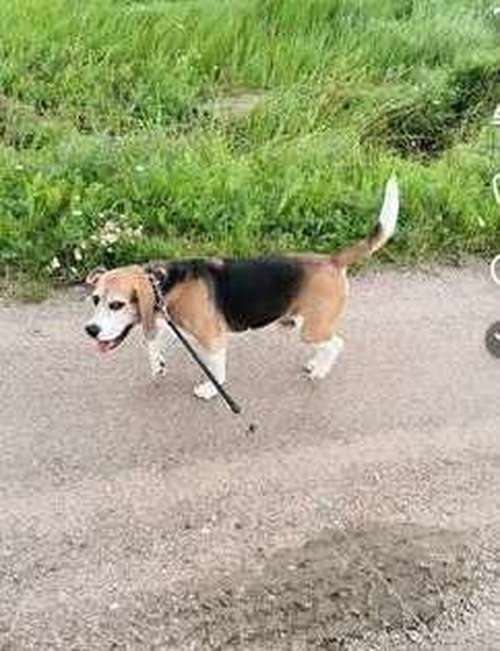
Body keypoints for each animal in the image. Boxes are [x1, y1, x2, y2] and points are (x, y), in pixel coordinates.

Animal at [85, 176, 399, 400]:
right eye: (95, 300)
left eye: (116, 304)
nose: (90, 330)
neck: (164, 284)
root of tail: (332, 260)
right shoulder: (172, 322)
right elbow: (154, 342)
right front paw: (157, 364)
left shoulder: (211, 338)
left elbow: (216, 368)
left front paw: (210, 390)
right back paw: (315, 364)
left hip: (311, 327)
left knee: (336, 343)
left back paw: (319, 371)